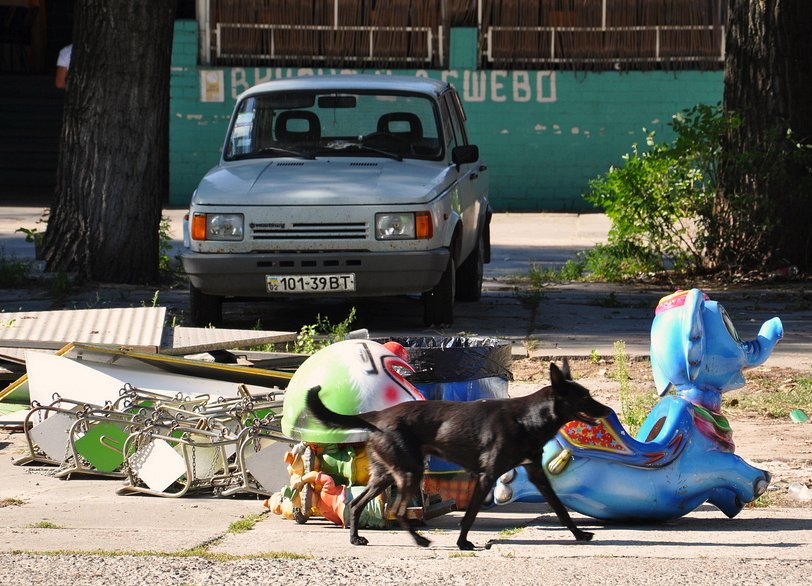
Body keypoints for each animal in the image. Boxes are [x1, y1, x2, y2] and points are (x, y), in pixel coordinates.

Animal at [304, 356, 608, 548]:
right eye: (584, 397)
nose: (607, 410)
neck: (528, 417)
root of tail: (377, 416)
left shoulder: (536, 473)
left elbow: (560, 508)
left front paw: (580, 534)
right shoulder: (486, 476)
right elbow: (470, 514)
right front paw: (463, 543)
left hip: (386, 475)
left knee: (356, 504)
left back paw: (355, 538)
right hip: (410, 471)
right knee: (398, 510)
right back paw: (420, 540)